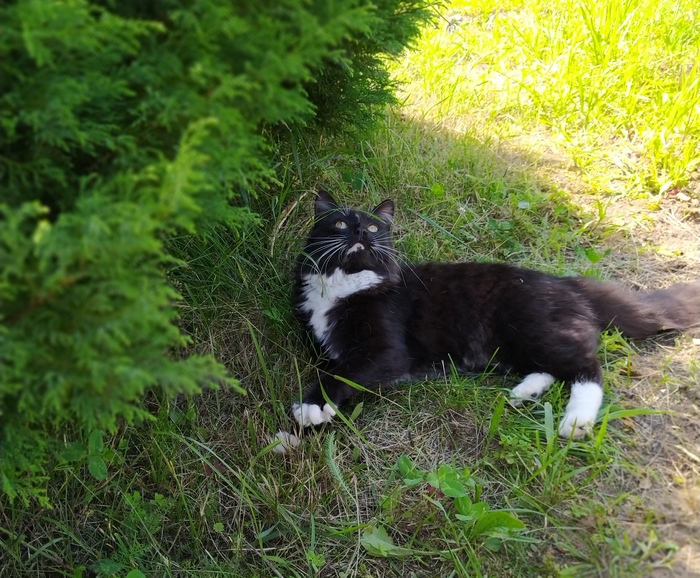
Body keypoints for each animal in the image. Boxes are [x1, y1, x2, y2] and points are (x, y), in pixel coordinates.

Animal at [290, 190, 700, 439]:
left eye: (375, 226)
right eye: (340, 222)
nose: (361, 229)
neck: (346, 285)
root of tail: (565, 282)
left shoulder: (387, 351)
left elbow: (342, 372)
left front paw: (313, 406)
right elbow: (339, 366)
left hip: (531, 326)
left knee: (587, 368)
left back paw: (575, 422)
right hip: (516, 341)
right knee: (552, 367)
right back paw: (523, 392)